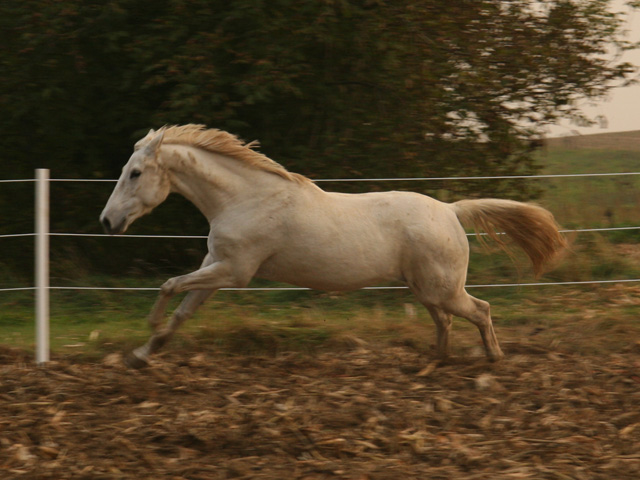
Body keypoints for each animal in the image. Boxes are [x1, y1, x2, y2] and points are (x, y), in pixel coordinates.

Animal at [100, 124, 566, 368]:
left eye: (136, 173)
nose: (107, 222)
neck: (244, 199)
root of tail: (451, 210)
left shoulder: (235, 272)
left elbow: (169, 285)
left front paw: (148, 329)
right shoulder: (216, 269)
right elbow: (183, 310)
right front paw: (142, 354)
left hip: (443, 289)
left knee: (480, 311)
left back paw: (494, 358)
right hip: (427, 290)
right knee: (446, 321)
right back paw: (436, 361)